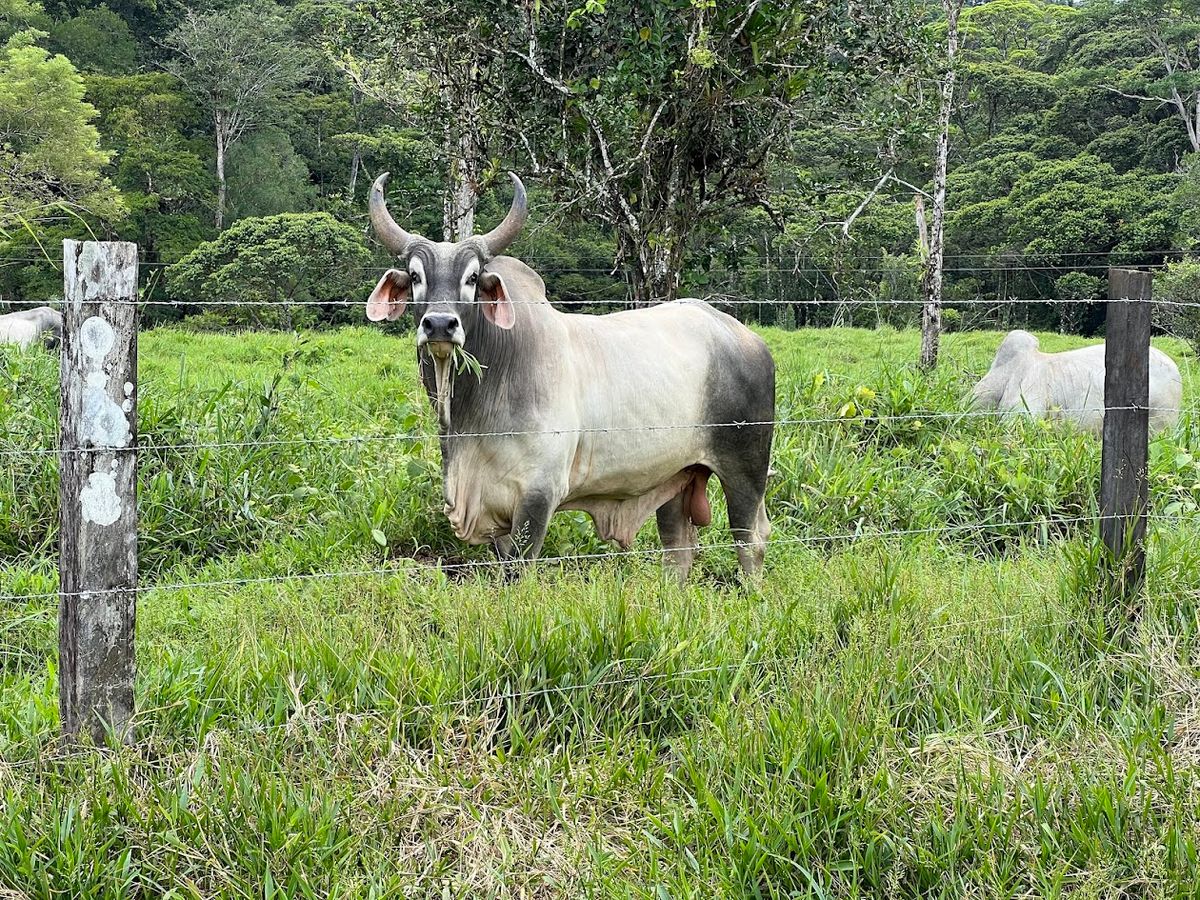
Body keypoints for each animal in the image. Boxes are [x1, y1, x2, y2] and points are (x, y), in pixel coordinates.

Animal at [365, 172, 775, 581]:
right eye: (415, 276)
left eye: (473, 277)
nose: (439, 324)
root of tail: (747, 337)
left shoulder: (537, 494)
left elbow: (518, 570)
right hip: (675, 476)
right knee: (678, 547)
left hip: (745, 470)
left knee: (750, 541)